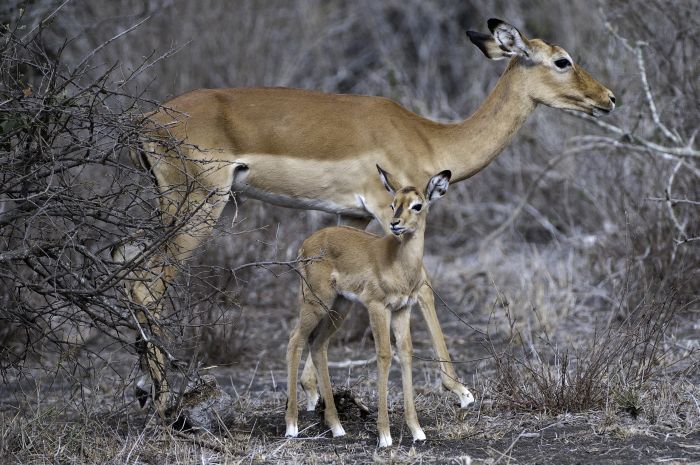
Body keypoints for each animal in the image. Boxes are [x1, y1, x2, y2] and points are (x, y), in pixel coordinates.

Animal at [288, 165, 452, 444]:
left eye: (417, 205)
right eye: (393, 203)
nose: (395, 224)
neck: (398, 263)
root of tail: (308, 242)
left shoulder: (403, 309)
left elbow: (406, 354)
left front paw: (417, 431)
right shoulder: (377, 307)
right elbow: (384, 354)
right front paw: (384, 435)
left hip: (340, 307)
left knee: (318, 344)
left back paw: (337, 426)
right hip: (315, 303)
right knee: (295, 341)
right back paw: (291, 426)